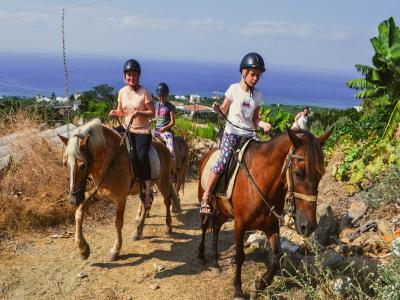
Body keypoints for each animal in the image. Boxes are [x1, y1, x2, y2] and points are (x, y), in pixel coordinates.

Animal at [57, 118, 180, 262]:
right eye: (65, 163)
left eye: (83, 166)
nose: (73, 199)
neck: (110, 163)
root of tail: (164, 147)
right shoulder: (94, 196)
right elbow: (78, 214)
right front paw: (83, 249)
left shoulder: (120, 200)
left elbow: (118, 223)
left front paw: (115, 250)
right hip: (144, 187)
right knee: (146, 204)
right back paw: (138, 231)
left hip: (163, 182)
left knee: (167, 201)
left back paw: (168, 227)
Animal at [198, 128, 332, 298]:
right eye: (298, 173)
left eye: (320, 174)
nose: (309, 226)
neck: (261, 180)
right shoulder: (239, 224)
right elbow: (240, 256)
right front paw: (238, 290)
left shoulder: (271, 225)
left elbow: (278, 257)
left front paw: (259, 286)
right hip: (206, 203)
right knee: (204, 226)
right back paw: (202, 254)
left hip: (223, 212)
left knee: (215, 228)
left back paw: (215, 263)